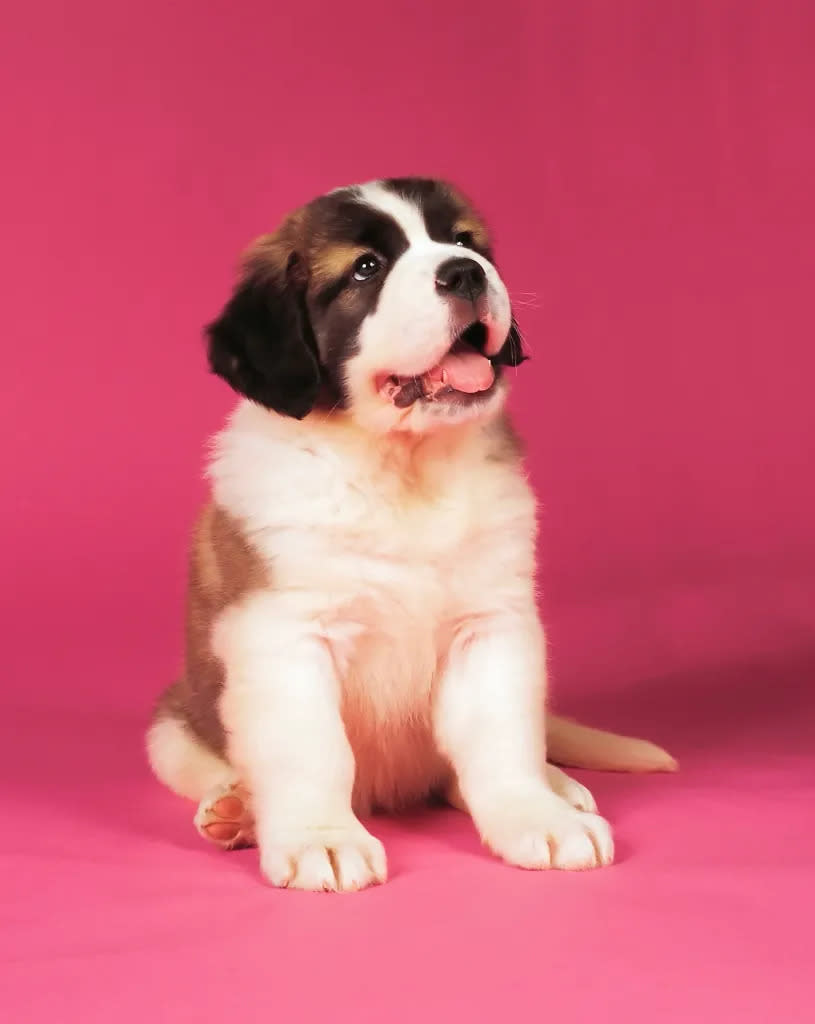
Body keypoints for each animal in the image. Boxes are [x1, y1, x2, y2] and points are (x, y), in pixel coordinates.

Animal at [144, 174, 675, 888]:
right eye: (366, 268)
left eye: (465, 241)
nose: (465, 272)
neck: (399, 468)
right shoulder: (284, 633)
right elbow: (311, 749)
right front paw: (321, 837)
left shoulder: (490, 624)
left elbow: (501, 738)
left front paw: (537, 816)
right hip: (173, 729)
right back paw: (238, 811)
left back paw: (558, 787)